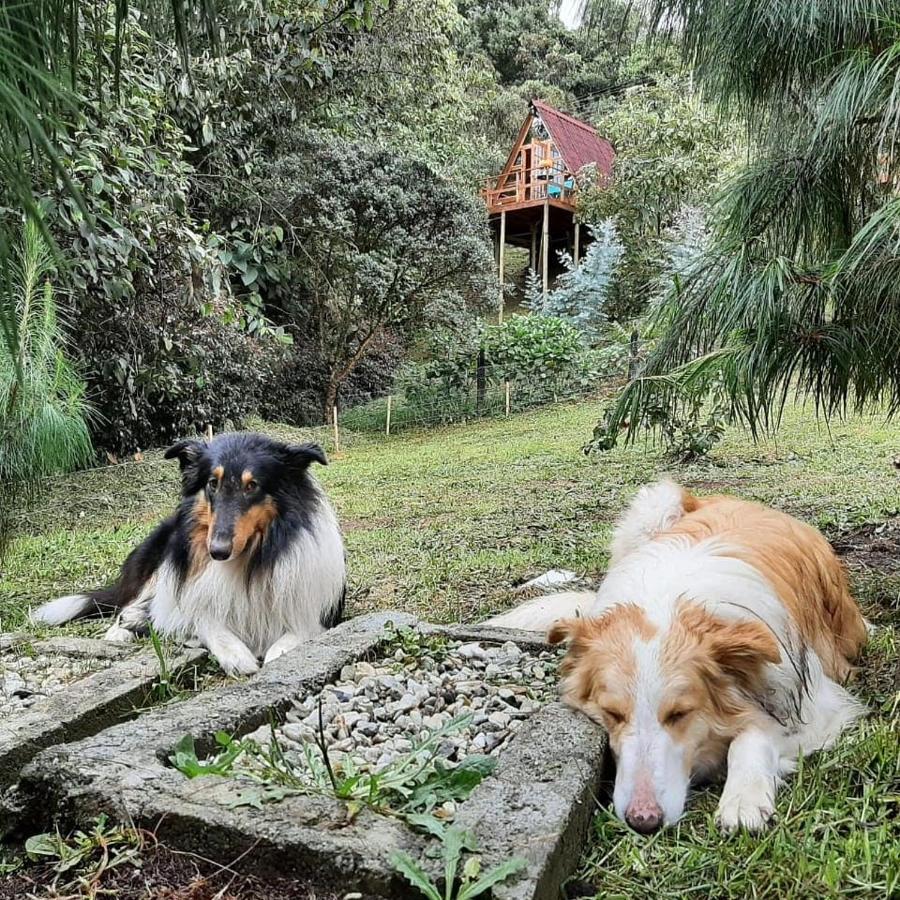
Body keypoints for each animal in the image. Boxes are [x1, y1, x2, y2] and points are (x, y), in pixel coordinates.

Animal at [31, 430, 344, 676]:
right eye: (212, 483)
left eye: (252, 485)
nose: (217, 551)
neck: (250, 560)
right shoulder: (191, 598)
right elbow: (206, 620)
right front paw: (236, 655)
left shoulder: (318, 611)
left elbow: (295, 635)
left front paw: (277, 653)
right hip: (162, 560)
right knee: (133, 604)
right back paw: (124, 627)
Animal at [488, 482, 868, 832]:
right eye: (612, 714)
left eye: (679, 714)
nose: (643, 821)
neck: (667, 601)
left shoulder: (815, 703)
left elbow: (755, 732)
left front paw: (743, 798)